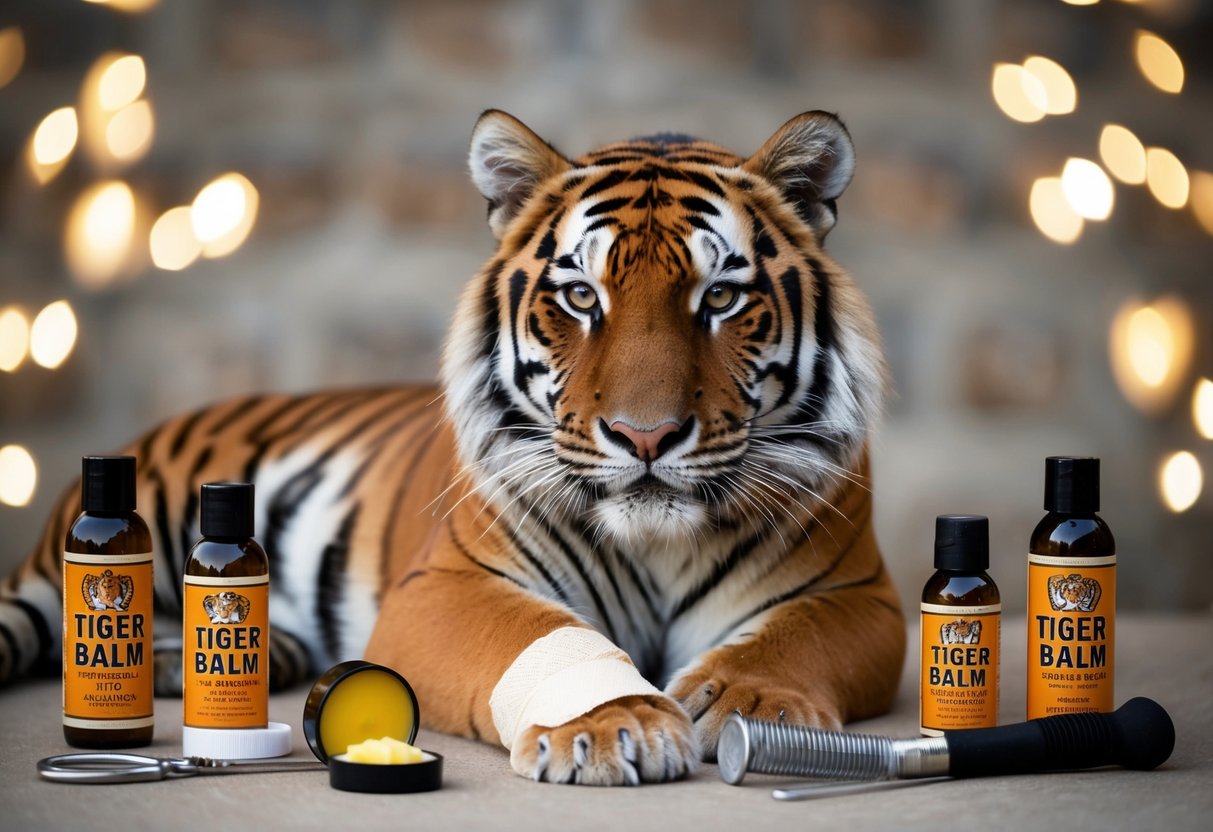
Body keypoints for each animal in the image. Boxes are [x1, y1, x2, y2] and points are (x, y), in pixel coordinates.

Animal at [0, 110, 907, 790]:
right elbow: (528, 636)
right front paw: (606, 724)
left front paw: (751, 706)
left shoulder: (857, 594)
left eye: (719, 297)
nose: (644, 436)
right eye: (581, 297)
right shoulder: (442, 587)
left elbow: (793, 639)